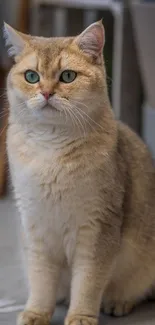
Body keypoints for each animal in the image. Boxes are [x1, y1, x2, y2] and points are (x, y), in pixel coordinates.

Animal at [3, 19, 155, 324]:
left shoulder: (97, 228)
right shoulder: (35, 227)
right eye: (32, 76)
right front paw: (37, 312)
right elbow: (40, 279)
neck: (50, 150)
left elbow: (88, 281)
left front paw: (81, 317)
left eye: (68, 76)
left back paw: (118, 302)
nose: (47, 92)